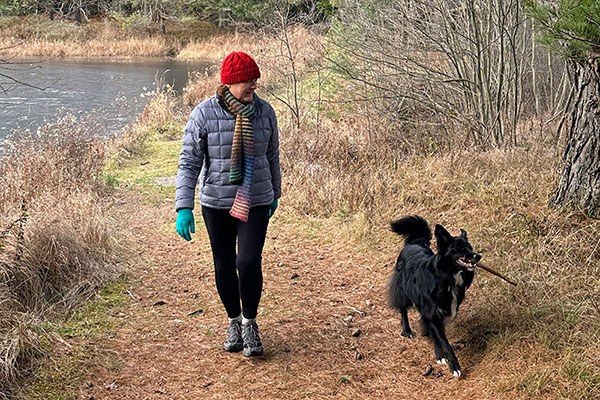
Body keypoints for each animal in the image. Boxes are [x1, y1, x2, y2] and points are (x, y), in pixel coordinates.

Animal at [386, 216, 480, 378]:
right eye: (460, 249)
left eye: (470, 247)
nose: (478, 256)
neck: (447, 278)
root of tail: (414, 243)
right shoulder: (432, 313)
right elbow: (445, 343)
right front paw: (454, 366)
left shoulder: (436, 314)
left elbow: (436, 336)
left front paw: (439, 355)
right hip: (402, 291)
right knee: (403, 309)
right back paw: (407, 331)